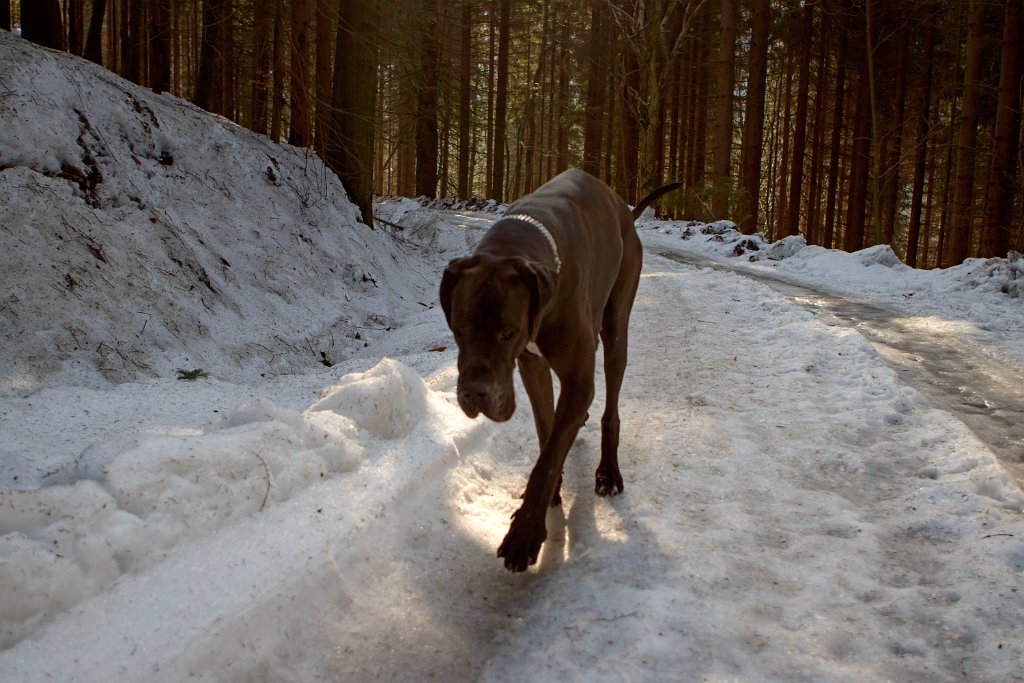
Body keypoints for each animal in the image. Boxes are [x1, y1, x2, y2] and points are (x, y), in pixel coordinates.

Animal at [440, 169, 679, 573]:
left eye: (508, 332)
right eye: (459, 329)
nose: (474, 393)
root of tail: (626, 213)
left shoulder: (578, 378)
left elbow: (549, 458)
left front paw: (524, 533)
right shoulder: (531, 365)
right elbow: (545, 428)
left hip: (616, 326)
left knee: (611, 405)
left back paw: (608, 470)